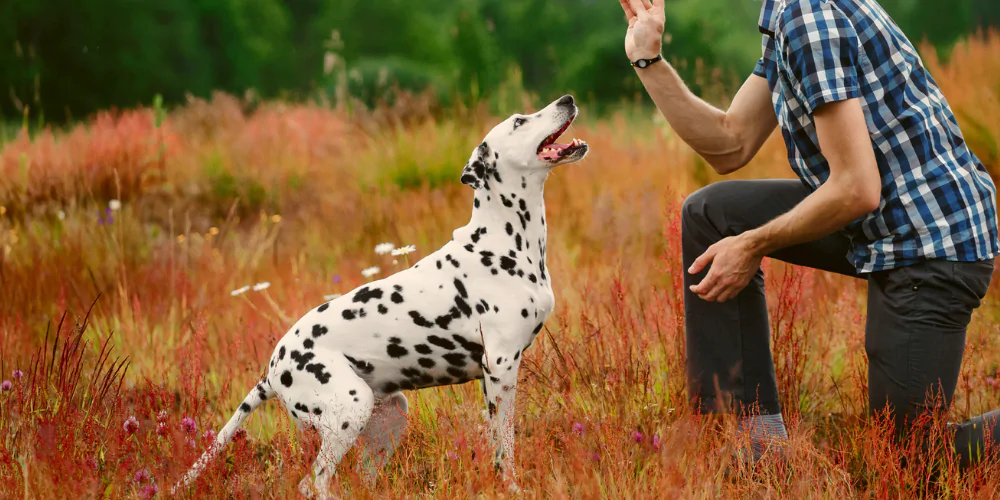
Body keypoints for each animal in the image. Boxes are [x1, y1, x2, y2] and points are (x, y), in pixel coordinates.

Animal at [173, 94, 588, 496]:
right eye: (519, 121)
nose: (567, 98)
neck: (504, 240)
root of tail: (273, 371)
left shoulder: (493, 377)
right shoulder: (500, 369)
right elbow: (505, 447)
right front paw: (511, 486)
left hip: (389, 416)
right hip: (349, 412)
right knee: (314, 483)